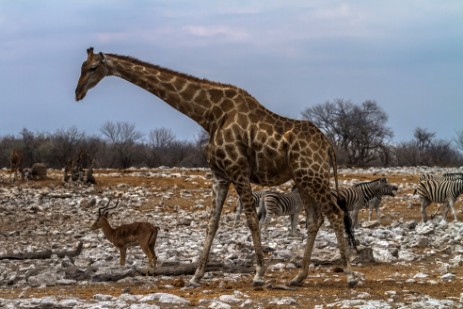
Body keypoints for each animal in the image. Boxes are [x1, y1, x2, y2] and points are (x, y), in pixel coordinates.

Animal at [76, 47, 358, 288]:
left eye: (92, 68)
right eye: (82, 67)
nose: (78, 93)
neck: (210, 115)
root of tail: (328, 144)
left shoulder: (239, 172)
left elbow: (251, 221)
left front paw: (258, 275)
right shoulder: (219, 176)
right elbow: (211, 224)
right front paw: (195, 277)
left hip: (312, 175)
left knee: (333, 213)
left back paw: (350, 275)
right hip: (302, 178)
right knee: (315, 219)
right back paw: (299, 277)